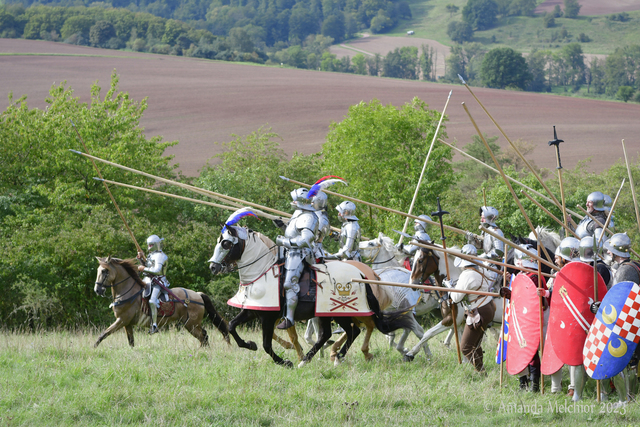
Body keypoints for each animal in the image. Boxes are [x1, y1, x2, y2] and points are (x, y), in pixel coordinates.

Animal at [92, 256, 228, 350]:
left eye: (104, 271)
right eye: (98, 270)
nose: (97, 290)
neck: (128, 292)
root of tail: (198, 295)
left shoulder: (121, 320)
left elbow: (103, 334)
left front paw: (93, 347)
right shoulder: (127, 324)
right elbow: (131, 341)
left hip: (191, 325)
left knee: (203, 337)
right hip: (191, 324)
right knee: (204, 336)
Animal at [208, 227, 412, 368]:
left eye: (226, 243)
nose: (213, 267)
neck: (262, 272)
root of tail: (361, 275)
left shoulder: (269, 317)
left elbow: (266, 344)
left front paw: (285, 362)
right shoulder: (252, 312)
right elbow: (232, 326)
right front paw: (249, 344)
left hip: (340, 312)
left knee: (353, 330)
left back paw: (321, 358)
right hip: (331, 314)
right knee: (342, 332)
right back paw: (325, 357)